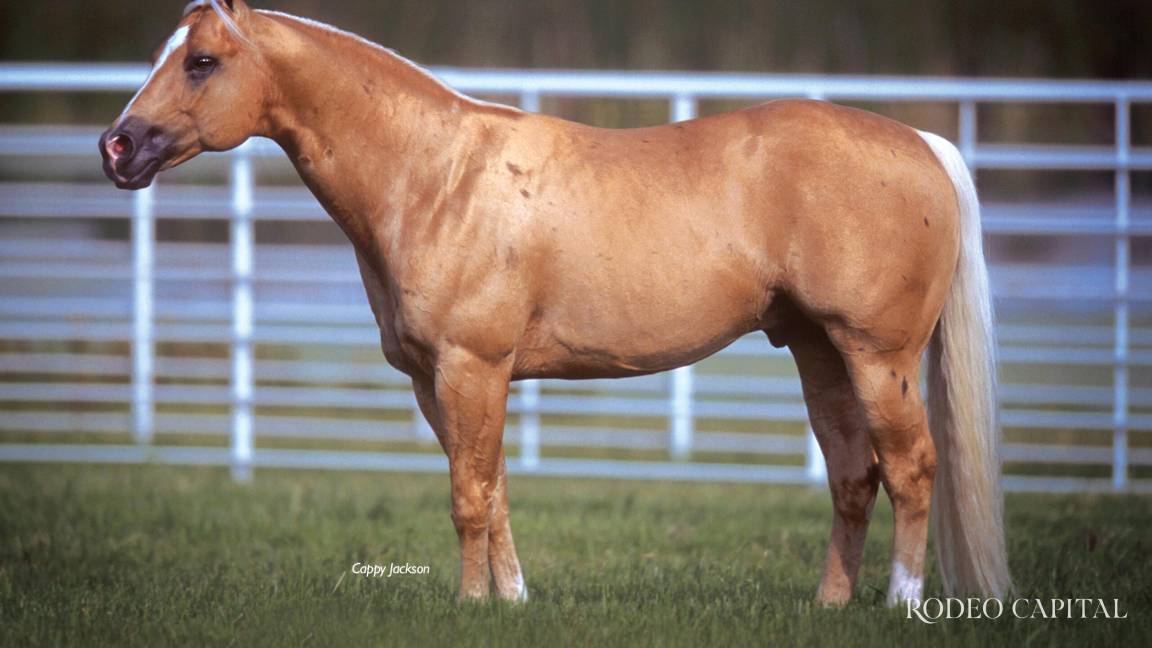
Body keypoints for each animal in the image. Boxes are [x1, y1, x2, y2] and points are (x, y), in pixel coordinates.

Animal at [100, 0, 1011, 605]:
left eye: (202, 62)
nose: (118, 146)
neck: (437, 175)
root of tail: (922, 144)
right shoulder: (440, 381)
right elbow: (492, 487)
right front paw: (511, 603)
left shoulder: (471, 367)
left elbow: (469, 497)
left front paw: (469, 606)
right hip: (821, 353)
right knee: (855, 477)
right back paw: (828, 608)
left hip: (878, 356)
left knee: (911, 469)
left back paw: (900, 603)